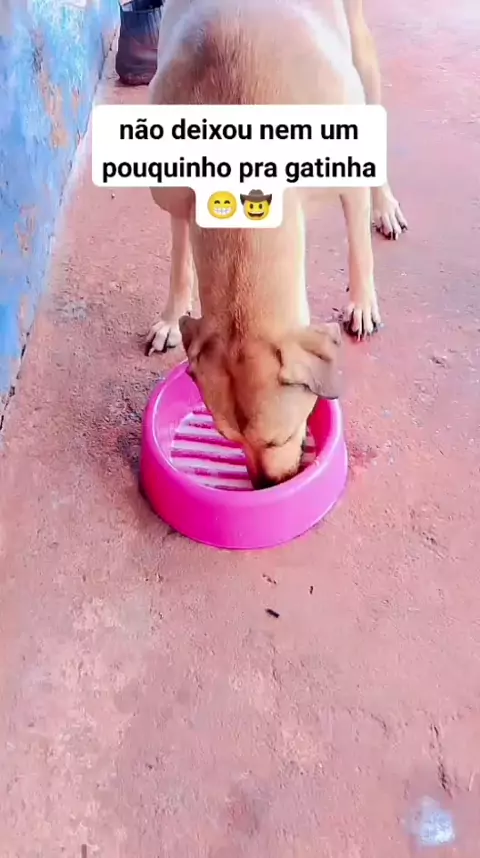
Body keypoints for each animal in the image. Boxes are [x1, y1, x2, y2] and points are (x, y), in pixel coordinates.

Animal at [145, 0, 407, 489]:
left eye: (280, 437)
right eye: (227, 438)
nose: (266, 488)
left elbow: (359, 249)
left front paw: (363, 302)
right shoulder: (175, 195)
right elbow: (178, 261)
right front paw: (172, 317)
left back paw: (385, 207)